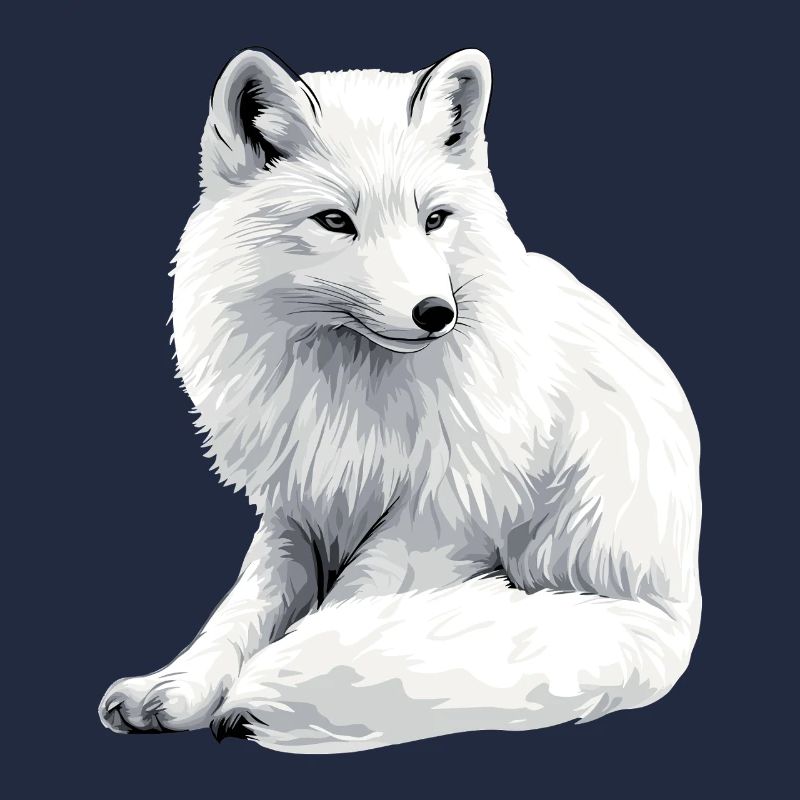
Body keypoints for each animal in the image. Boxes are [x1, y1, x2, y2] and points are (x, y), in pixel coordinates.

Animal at [99, 47, 702, 754]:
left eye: (434, 219)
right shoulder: (296, 508)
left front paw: (276, 681)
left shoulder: (440, 519)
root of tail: (674, 613)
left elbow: (347, 612)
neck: (349, 391)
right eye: (336, 221)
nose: (436, 313)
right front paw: (178, 688)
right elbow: (243, 609)